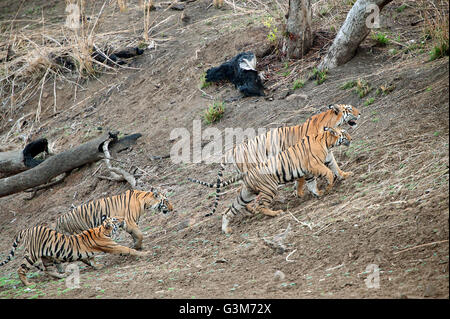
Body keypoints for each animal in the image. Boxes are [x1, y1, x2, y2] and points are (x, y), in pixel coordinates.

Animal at [0, 218, 147, 288]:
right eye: (115, 219)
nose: (123, 219)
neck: (103, 230)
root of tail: (26, 229)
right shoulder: (113, 246)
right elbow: (128, 249)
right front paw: (145, 253)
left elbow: (91, 259)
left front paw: (97, 266)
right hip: (32, 254)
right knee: (21, 269)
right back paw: (28, 284)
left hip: (46, 257)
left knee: (48, 270)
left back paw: (63, 275)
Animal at [188, 127, 354, 235]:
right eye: (344, 133)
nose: (351, 138)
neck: (327, 142)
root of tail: (247, 172)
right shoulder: (314, 165)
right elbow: (328, 173)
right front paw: (327, 188)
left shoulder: (320, 164)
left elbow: (331, 170)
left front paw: (342, 176)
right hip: (269, 188)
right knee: (260, 205)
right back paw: (275, 213)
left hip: (246, 194)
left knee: (230, 210)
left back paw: (226, 229)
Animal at [209, 104, 360, 216]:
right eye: (349, 109)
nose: (359, 113)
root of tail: (231, 150)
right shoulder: (303, 158)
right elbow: (303, 178)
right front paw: (299, 192)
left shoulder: (326, 154)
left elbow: (335, 167)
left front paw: (344, 175)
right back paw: (256, 209)